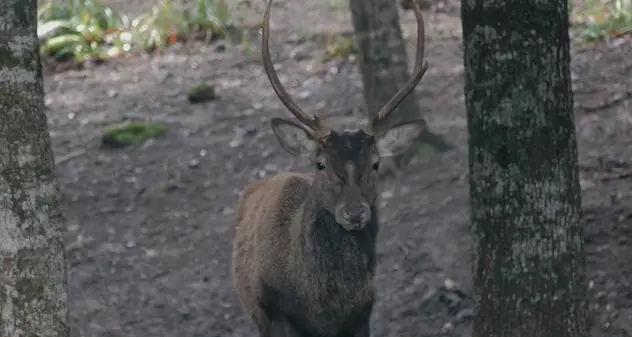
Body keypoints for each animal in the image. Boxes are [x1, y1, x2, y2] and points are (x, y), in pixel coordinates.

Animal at [231, 0, 430, 336]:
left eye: (376, 163)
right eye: (321, 164)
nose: (355, 212)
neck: (322, 308)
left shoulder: (363, 313)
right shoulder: (273, 311)